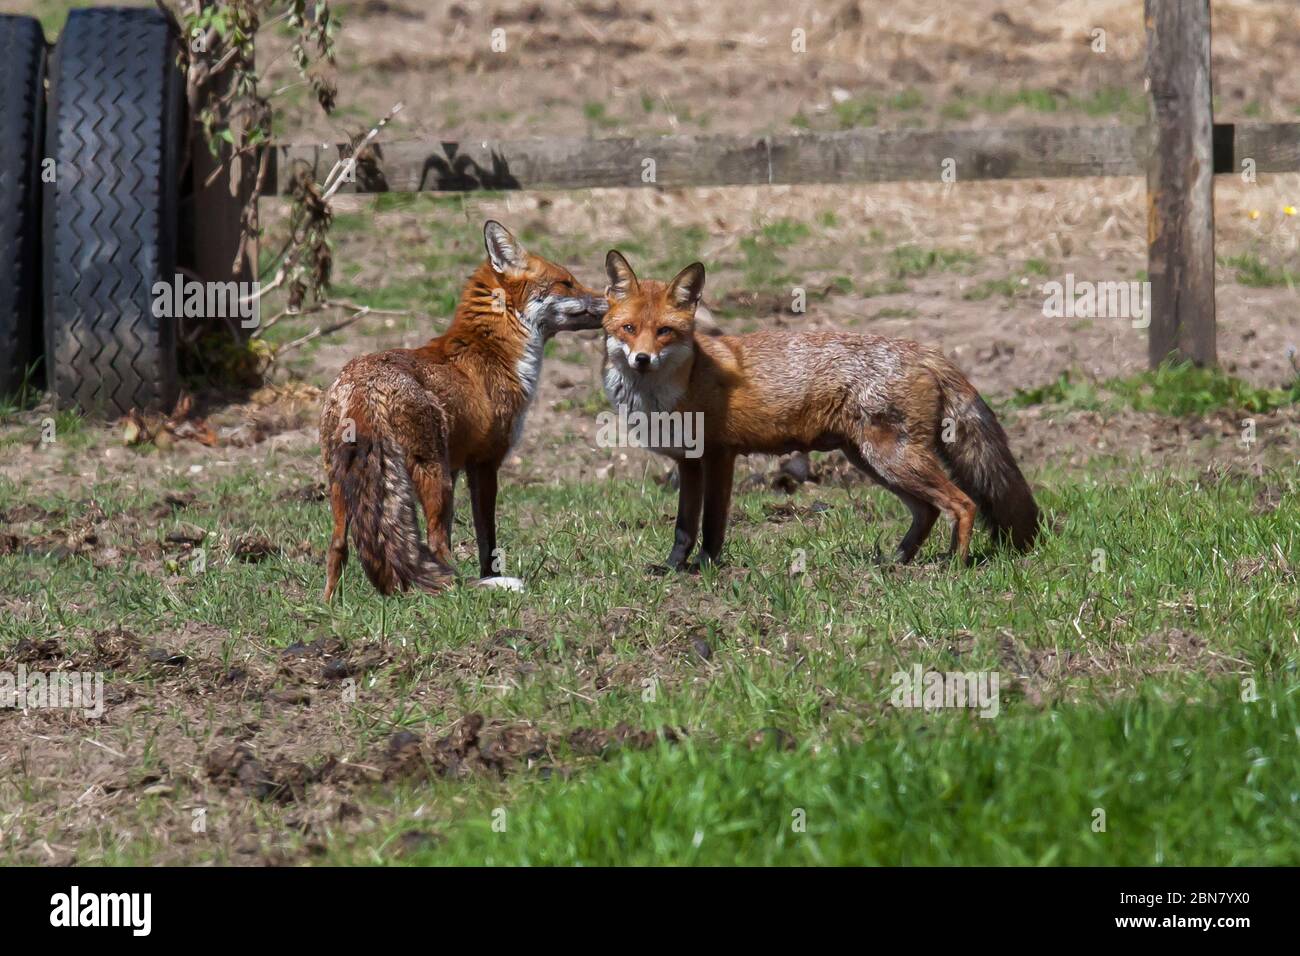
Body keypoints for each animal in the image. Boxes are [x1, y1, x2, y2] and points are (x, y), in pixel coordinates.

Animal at [318, 221, 607, 600]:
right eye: (566, 282)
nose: (610, 300)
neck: (496, 351)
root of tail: (363, 385)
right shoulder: (484, 463)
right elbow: (488, 539)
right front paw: (490, 577)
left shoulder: (458, 465)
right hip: (431, 472)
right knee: (436, 544)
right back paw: (457, 590)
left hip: (342, 480)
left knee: (338, 545)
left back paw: (329, 604)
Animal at [600, 250, 1039, 571]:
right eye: (628, 329)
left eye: (664, 332)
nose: (641, 360)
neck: (679, 387)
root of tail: (924, 350)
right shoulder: (688, 462)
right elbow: (684, 527)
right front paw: (672, 569)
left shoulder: (720, 455)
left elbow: (711, 525)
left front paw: (705, 568)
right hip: (871, 461)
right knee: (928, 511)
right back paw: (894, 563)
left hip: (893, 459)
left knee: (962, 503)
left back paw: (954, 567)